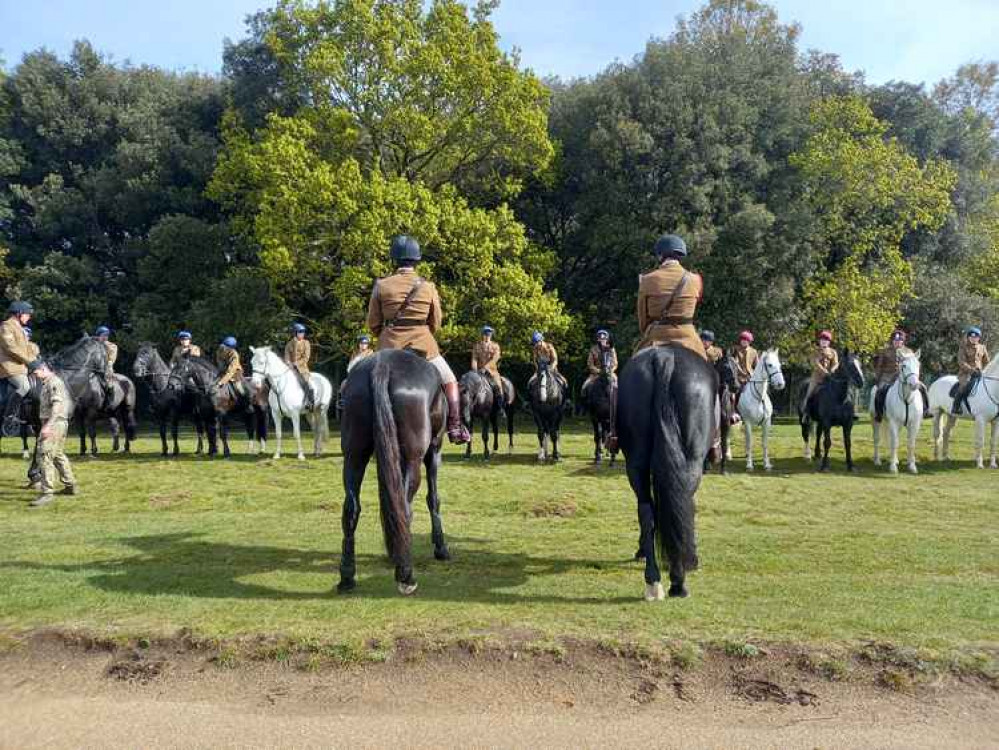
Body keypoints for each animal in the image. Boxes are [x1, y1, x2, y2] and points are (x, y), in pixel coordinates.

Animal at [338, 352, 452, 600]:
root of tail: (382, 365)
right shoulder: (434, 451)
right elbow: (433, 499)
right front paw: (440, 547)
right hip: (414, 459)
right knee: (405, 508)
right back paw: (405, 575)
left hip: (354, 456)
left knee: (352, 509)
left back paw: (347, 576)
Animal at [616, 350, 720, 604]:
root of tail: (663, 357)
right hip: (691, 462)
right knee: (681, 505)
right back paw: (678, 579)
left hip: (636, 463)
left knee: (646, 511)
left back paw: (653, 580)